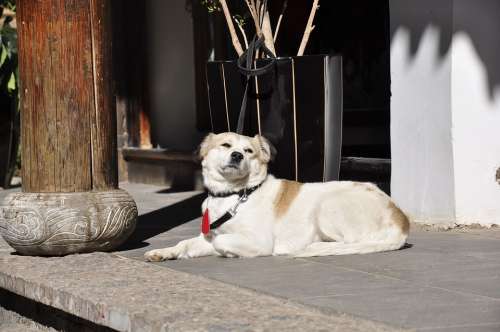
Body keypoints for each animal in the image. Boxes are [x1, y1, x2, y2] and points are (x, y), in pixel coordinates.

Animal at [143, 131, 408, 260]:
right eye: (226, 145)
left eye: (248, 151)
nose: (237, 155)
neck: (235, 195)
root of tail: (400, 219)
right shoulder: (207, 235)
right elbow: (186, 243)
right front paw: (164, 252)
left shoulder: (258, 241)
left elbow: (221, 241)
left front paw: (228, 252)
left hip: (327, 206)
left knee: (350, 242)